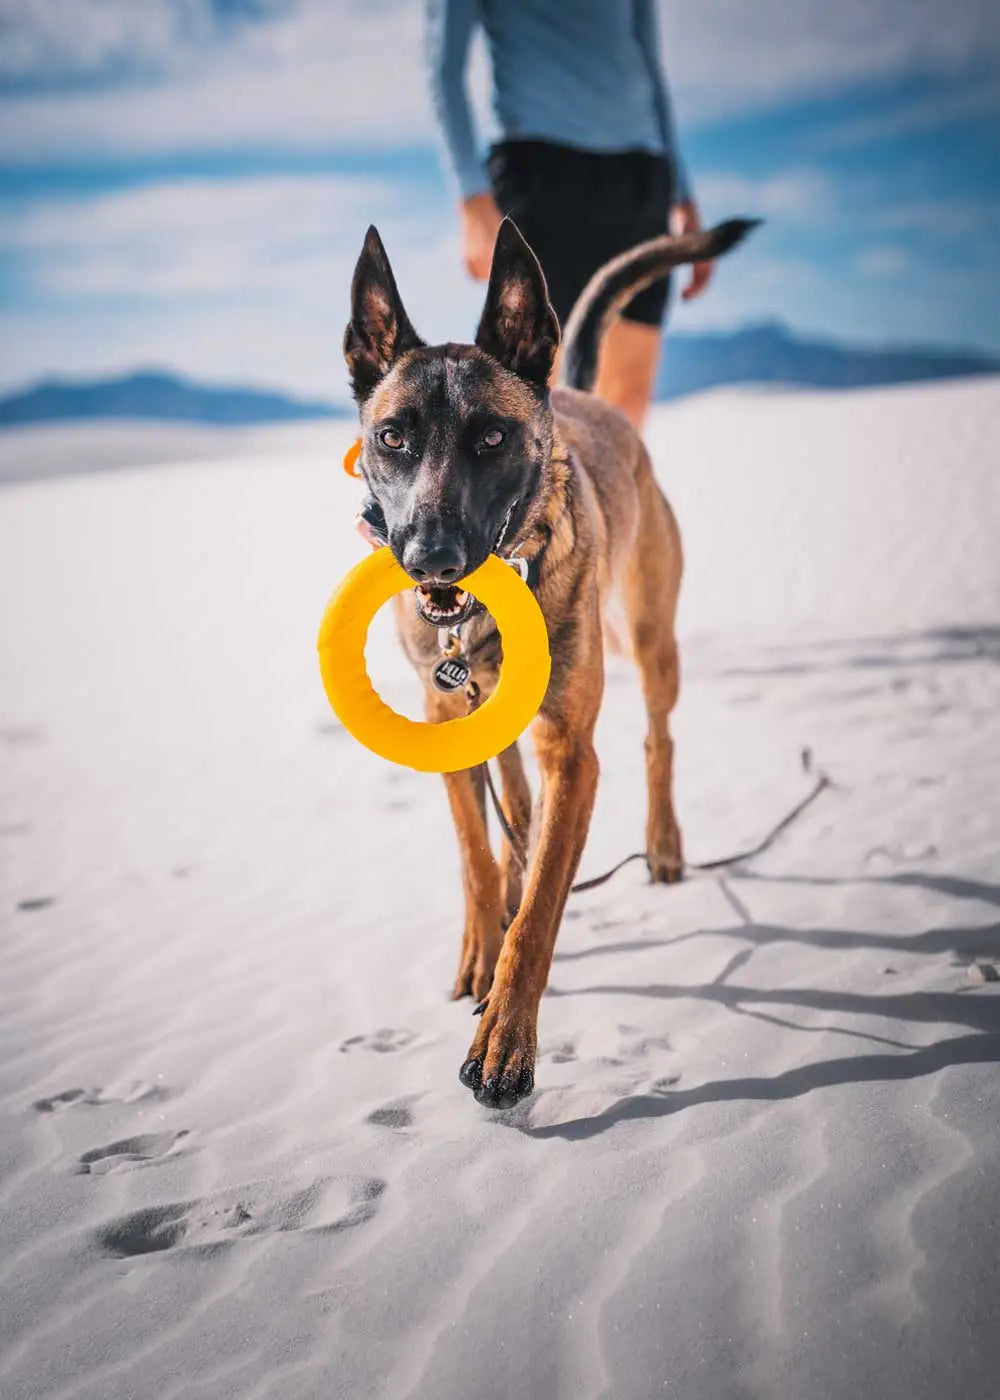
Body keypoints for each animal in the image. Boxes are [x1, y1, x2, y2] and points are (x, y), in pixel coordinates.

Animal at [344, 212, 756, 1103]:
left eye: (493, 437)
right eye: (392, 438)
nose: (430, 558)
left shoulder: (572, 750)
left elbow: (538, 920)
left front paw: (506, 1043)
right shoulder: (447, 718)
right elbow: (475, 857)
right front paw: (480, 948)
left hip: (648, 636)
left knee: (658, 737)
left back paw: (661, 843)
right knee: (516, 807)